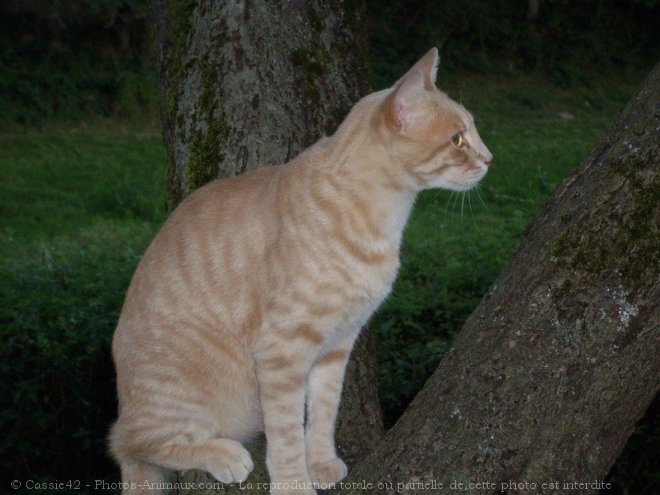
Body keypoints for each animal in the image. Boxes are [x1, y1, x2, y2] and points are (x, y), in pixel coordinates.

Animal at [109, 47, 490, 495]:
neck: (381, 219)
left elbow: (323, 412)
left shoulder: (338, 344)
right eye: (458, 139)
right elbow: (288, 431)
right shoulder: (283, 350)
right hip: (177, 399)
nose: (489, 159)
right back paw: (224, 454)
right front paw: (294, 481)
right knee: (136, 442)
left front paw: (320, 461)